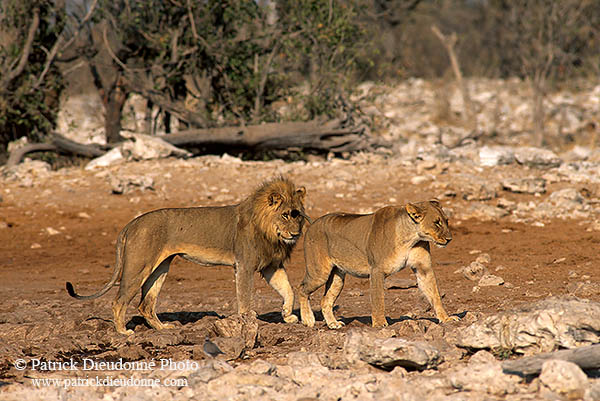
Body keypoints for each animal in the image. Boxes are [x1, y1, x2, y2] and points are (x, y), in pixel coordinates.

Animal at [67, 176, 310, 334]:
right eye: (285, 215)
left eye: (298, 215)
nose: (296, 234)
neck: (270, 232)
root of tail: (131, 224)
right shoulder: (244, 265)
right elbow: (245, 298)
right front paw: (248, 322)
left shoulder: (271, 266)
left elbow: (288, 289)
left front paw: (287, 315)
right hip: (138, 267)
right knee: (119, 301)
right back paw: (123, 332)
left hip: (160, 268)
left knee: (145, 305)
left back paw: (163, 328)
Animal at [298, 199, 458, 328]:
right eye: (437, 222)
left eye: (447, 221)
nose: (450, 239)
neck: (411, 238)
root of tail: (313, 223)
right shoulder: (377, 270)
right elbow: (378, 298)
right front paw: (380, 323)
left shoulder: (423, 269)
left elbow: (435, 295)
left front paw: (446, 318)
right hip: (319, 273)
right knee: (302, 288)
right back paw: (308, 319)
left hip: (337, 277)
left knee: (325, 300)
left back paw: (333, 324)